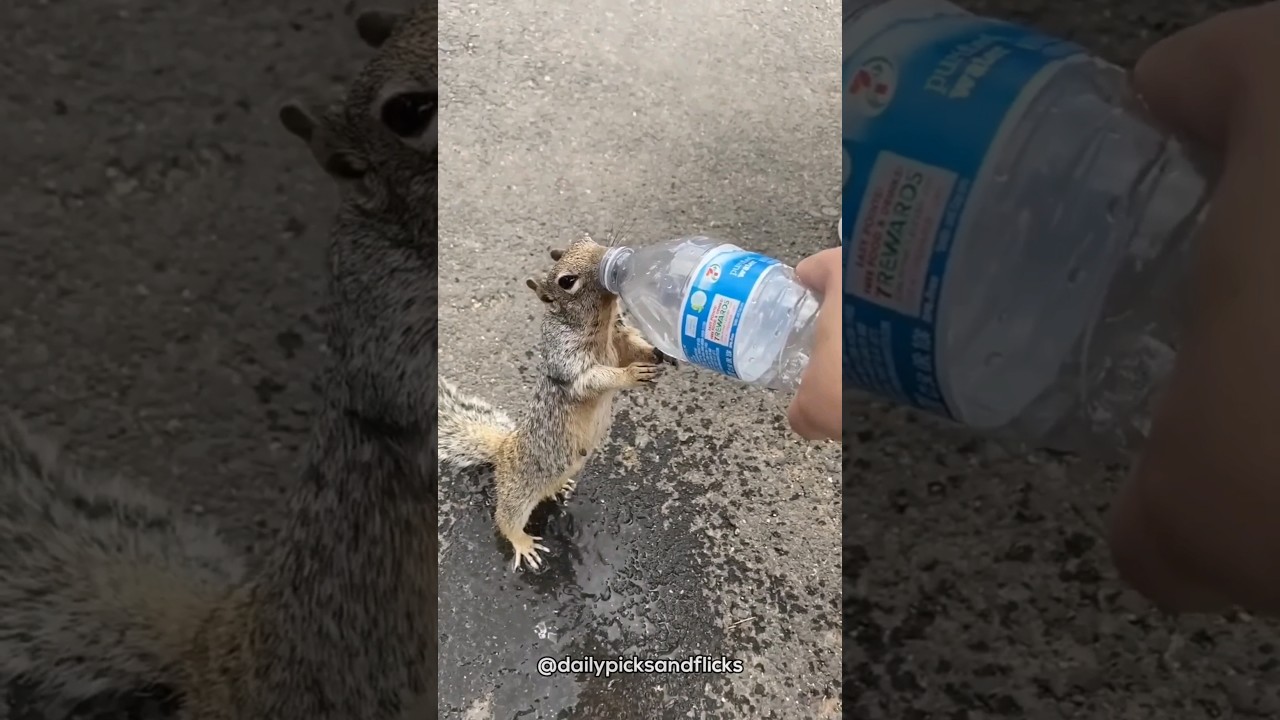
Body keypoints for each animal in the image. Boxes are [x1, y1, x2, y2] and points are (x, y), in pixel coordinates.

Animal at [439, 234, 676, 571]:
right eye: (567, 282)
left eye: (586, 239)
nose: (611, 256)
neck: (602, 324)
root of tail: (502, 450)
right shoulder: (569, 363)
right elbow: (594, 379)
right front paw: (631, 374)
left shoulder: (620, 335)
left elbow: (633, 345)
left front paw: (659, 352)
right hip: (518, 489)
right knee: (506, 519)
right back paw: (523, 544)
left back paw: (558, 488)